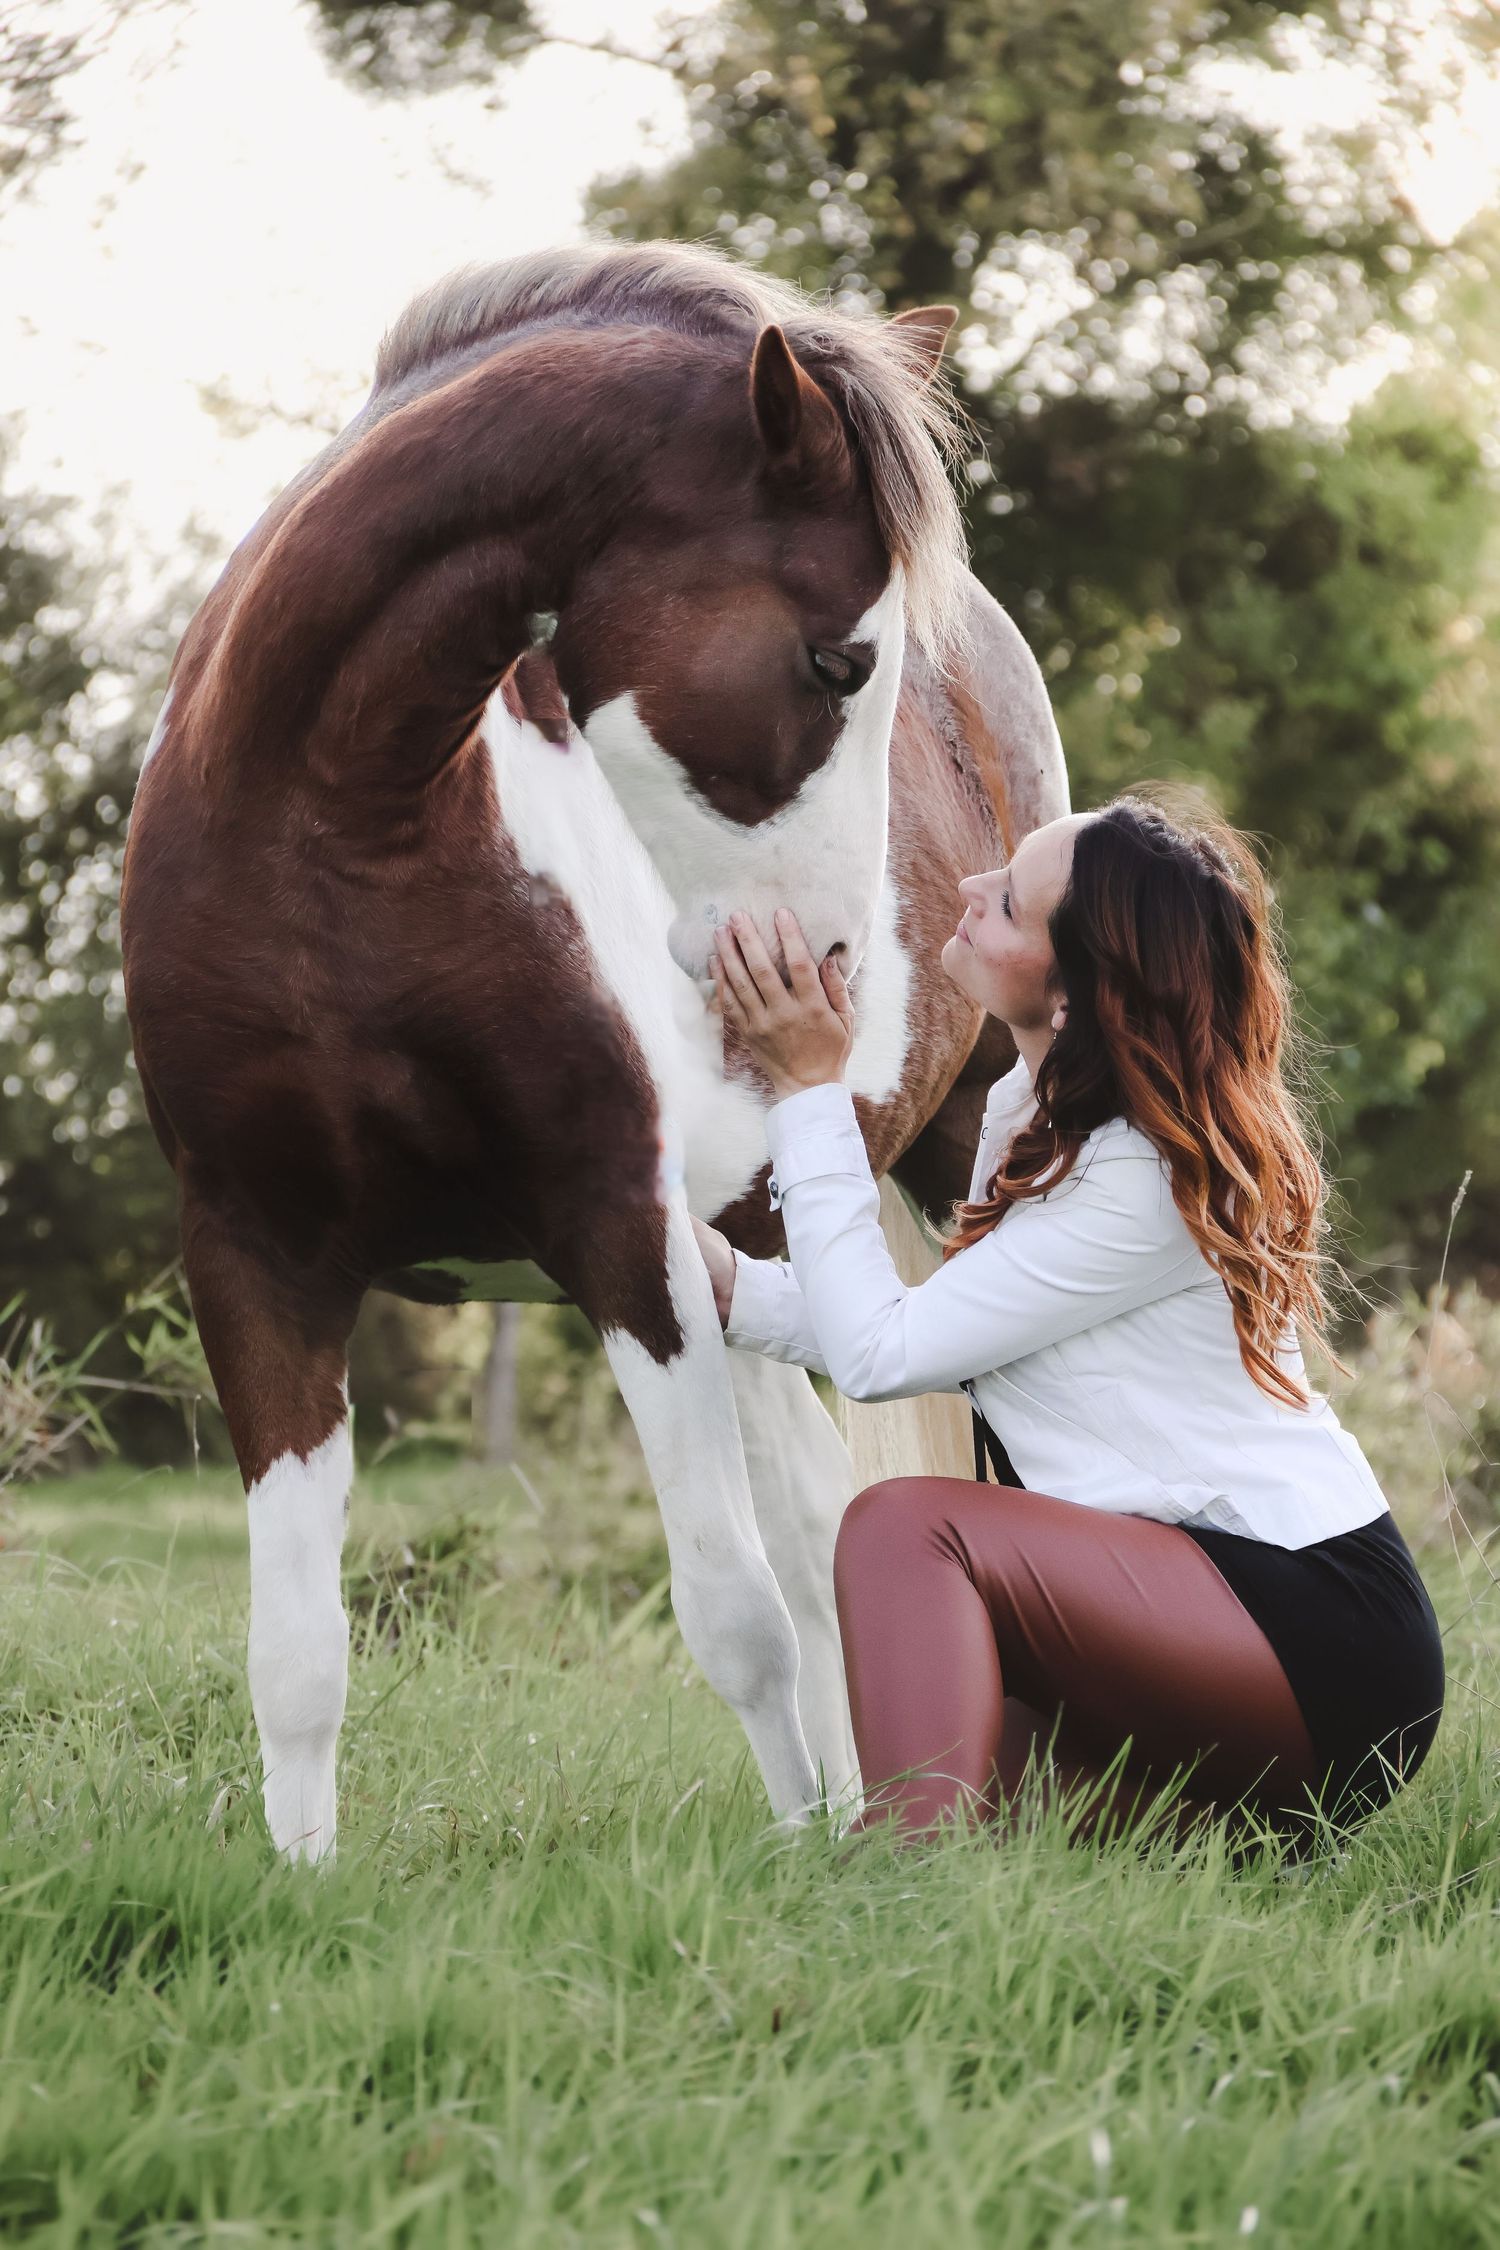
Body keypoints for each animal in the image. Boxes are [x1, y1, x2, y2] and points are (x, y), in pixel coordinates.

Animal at [119, 240, 1067, 1863]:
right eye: (838, 660)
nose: (834, 973)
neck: (334, 831)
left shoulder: (619, 1228)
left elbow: (732, 1611)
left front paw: (799, 1863)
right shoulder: (253, 1252)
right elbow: (296, 1652)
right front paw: (301, 1880)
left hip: (953, 1177)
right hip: (760, 1241)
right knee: (820, 1518)